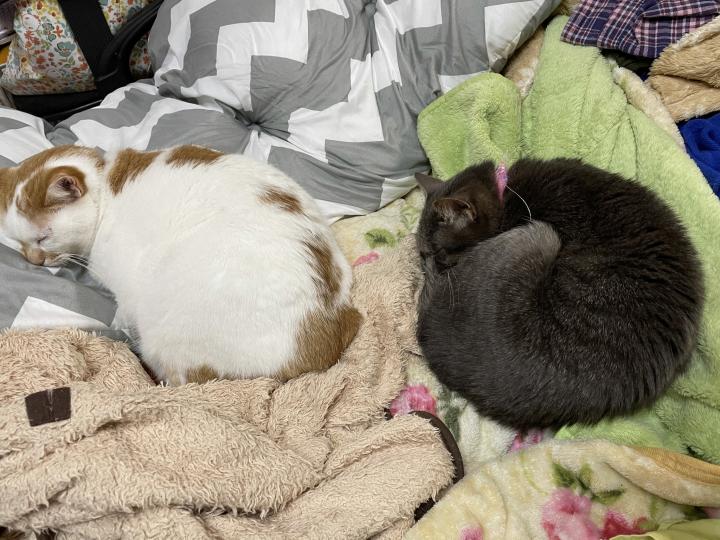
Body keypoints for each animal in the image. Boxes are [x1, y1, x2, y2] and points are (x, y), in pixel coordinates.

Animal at [0, 145, 360, 384]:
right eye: (19, 242)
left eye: (43, 237)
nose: (33, 260)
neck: (106, 186)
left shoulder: (127, 286)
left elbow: (122, 310)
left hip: (168, 334)